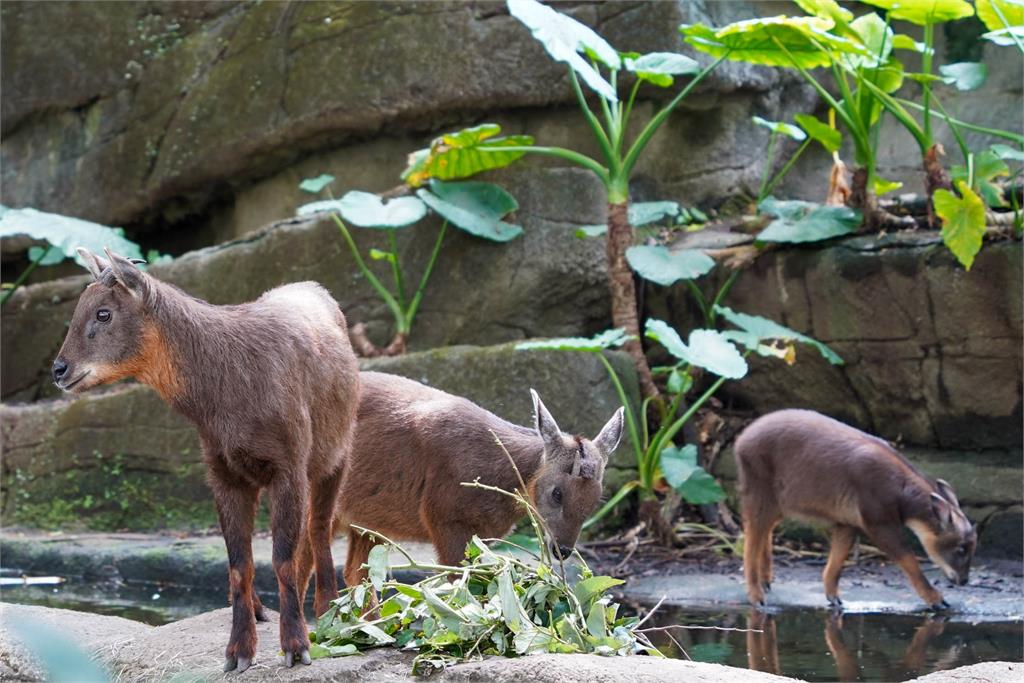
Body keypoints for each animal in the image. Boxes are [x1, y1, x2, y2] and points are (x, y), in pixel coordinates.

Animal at [57, 248, 360, 671]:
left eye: (103, 313)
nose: (59, 369)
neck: (224, 388)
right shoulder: (225, 473)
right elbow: (239, 565)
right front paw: (239, 652)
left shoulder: (289, 466)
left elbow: (280, 558)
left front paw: (296, 647)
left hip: (337, 454)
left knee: (318, 528)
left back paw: (328, 608)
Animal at [296, 368, 622, 593]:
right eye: (557, 493)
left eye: (596, 500)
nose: (562, 550)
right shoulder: (444, 517)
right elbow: (456, 582)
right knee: (303, 563)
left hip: (368, 520)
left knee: (356, 572)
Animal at [737, 409, 974, 610]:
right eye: (961, 548)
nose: (963, 580)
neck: (900, 491)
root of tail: (741, 440)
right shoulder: (878, 523)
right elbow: (908, 558)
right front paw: (936, 599)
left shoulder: (847, 523)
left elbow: (837, 562)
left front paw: (834, 598)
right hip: (760, 496)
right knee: (750, 538)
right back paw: (757, 596)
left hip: (780, 505)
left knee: (765, 531)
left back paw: (766, 580)